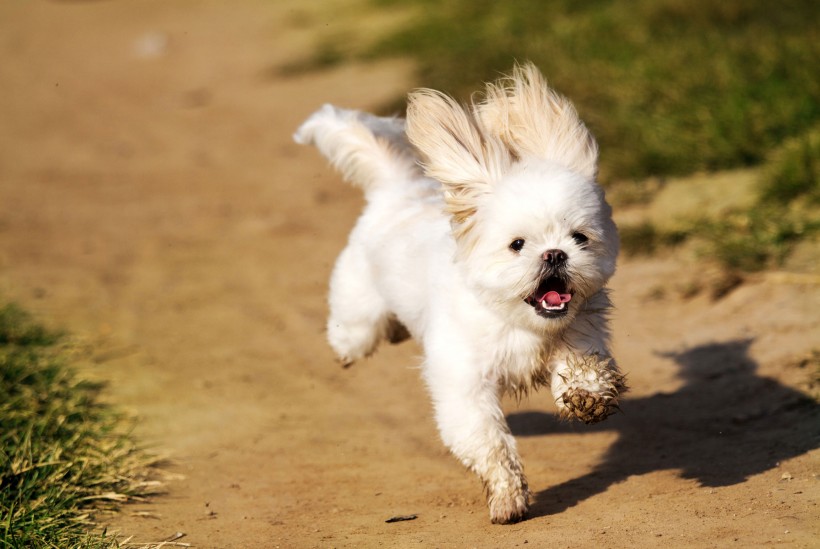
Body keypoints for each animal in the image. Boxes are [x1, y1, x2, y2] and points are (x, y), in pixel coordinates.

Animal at [298, 64, 624, 524]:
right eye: (518, 245)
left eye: (579, 238)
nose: (555, 254)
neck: (513, 319)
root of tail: (396, 190)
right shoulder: (464, 385)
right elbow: (489, 444)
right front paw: (507, 498)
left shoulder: (580, 330)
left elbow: (584, 365)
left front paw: (586, 396)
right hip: (357, 311)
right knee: (354, 334)